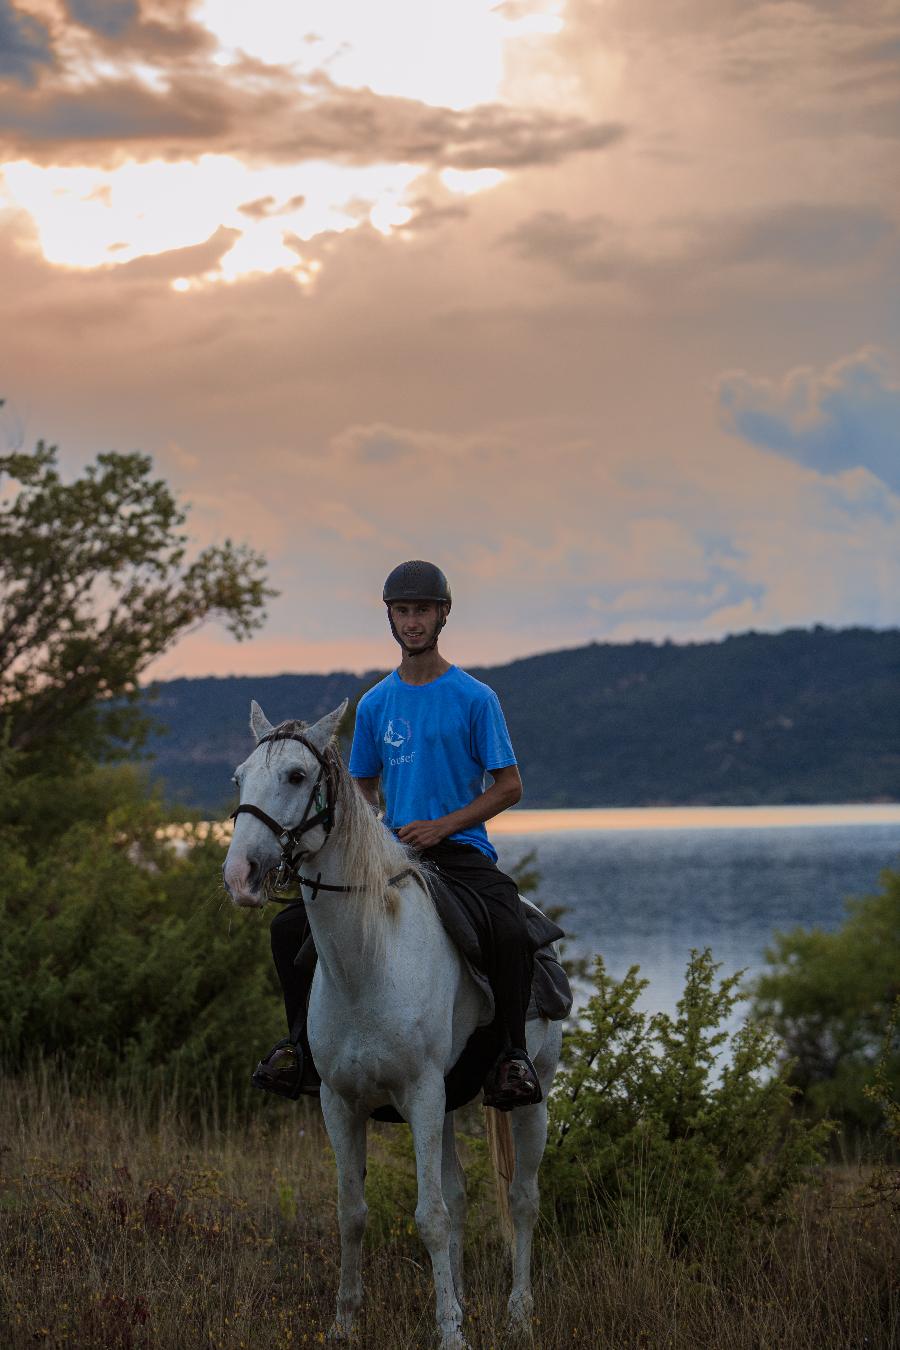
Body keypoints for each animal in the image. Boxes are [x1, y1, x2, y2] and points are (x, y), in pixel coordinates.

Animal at [223, 702, 564, 1344]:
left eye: (297, 776)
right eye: (239, 778)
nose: (241, 875)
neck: (368, 962)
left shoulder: (422, 1095)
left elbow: (429, 1217)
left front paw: (450, 1335)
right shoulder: (340, 1101)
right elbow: (352, 1214)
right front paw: (345, 1325)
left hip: (532, 1097)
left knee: (524, 1199)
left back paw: (519, 1316)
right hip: (453, 1100)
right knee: (460, 1195)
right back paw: (464, 1300)